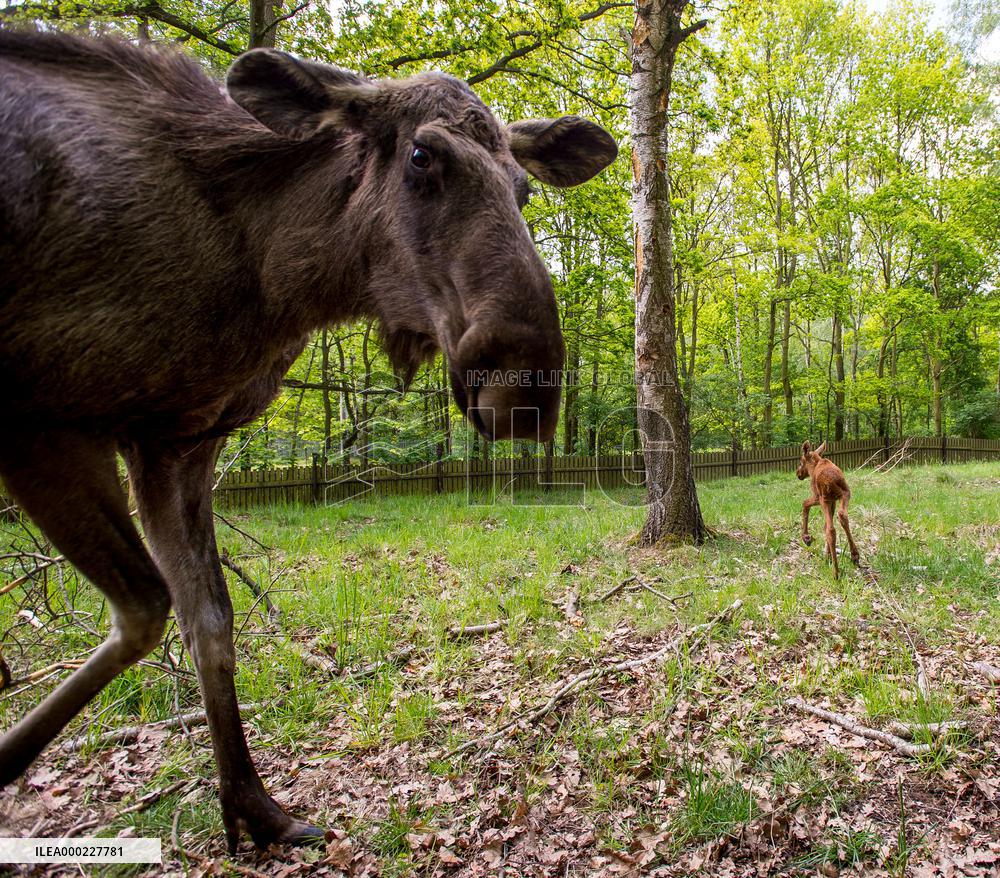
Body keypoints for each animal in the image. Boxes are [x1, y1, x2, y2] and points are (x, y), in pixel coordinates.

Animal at [0, 29, 617, 849]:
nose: (527, 389)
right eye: (422, 156)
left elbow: (205, 620)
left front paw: (255, 807)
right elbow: (145, 607)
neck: (268, 275)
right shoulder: (45, 422)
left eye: (523, 188)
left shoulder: (176, 442)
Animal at [797, 441, 860, 579]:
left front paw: (806, 537)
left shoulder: (817, 496)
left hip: (824, 499)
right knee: (842, 516)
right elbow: (825, 524)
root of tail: (831, 481)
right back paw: (854, 555)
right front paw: (828, 555)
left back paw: (836, 572)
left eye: (801, 461)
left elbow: (804, 504)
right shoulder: (833, 501)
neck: (814, 466)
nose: (798, 473)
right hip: (845, 494)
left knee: (831, 530)